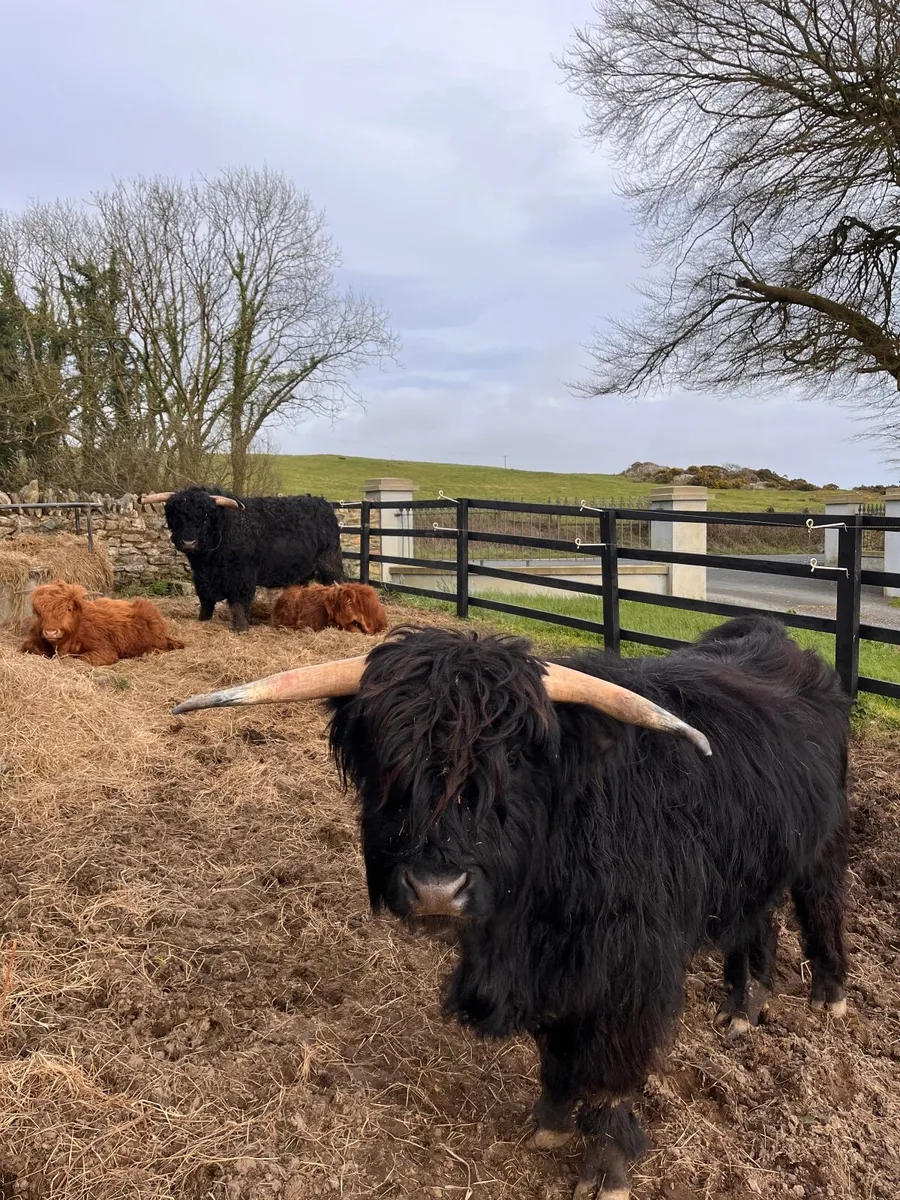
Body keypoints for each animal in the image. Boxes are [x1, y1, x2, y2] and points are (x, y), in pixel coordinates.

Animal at [21, 581, 185, 667]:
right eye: (40, 612)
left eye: (69, 608)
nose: (50, 632)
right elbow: (29, 647)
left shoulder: (105, 651)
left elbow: (82, 658)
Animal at [140, 486, 344, 633]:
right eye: (177, 516)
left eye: (205, 517)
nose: (189, 542)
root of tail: (322, 503)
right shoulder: (201, 578)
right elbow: (205, 601)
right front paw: (202, 620)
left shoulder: (241, 576)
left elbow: (239, 602)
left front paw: (241, 628)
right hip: (301, 571)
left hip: (330, 562)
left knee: (336, 584)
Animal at [171, 616, 850, 1198]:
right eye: (388, 758)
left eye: (513, 760)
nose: (436, 888)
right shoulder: (548, 971)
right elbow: (554, 1046)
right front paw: (549, 1120)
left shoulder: (631, 969)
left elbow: (610, 1069)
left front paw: (606, 1170)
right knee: (757, 924)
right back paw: (743, 1009)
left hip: (822, 848)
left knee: (822, 909)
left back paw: (829, 997)